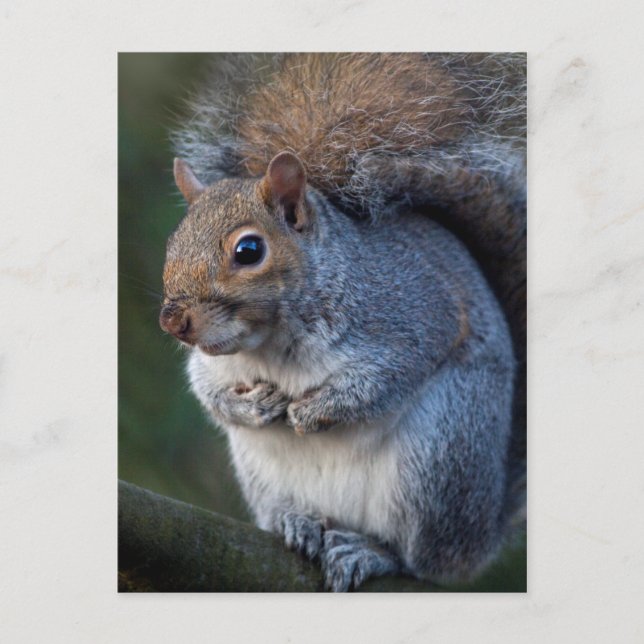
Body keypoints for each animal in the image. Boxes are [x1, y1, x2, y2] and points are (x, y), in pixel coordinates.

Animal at [159, 53, 526, 591]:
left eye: (248, 250)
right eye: (173, 241)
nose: (173, 322)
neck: (270, 343)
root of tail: (478, 540)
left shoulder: (415, 313)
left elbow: (389, 376)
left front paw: (313, 411)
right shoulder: (212, 363)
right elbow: (206, 389)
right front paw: (250, 407)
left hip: (440, 453)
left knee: (418, 558)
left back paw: (372, 552)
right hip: (263, 475)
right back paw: (297, 521)